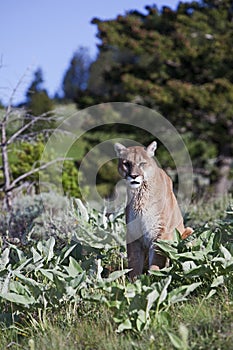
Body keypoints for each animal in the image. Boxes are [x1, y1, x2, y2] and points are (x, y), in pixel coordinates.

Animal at [114, 141, 193, 280]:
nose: (133, 176)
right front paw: (134, 282)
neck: (140, 195)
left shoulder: (160, 232)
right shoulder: (133, 233)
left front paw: (153, 280)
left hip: (187, 234)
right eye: (126, 163)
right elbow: (134, 262)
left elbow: (157, 261)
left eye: (142, 163)